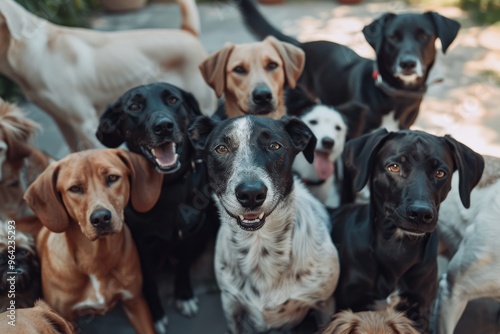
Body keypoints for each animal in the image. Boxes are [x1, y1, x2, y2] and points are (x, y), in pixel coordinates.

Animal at [24, 149, 163, 334]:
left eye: (112, 178)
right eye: (75, 188)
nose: (101, 218)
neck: (95, 258)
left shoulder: (134, 301)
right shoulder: (66, 317)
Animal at [188, 114, 340, 332]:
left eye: (275, 146)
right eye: (221, 148)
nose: (251, 194)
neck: (259, 244)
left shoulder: (324, 304)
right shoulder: (231, 306)